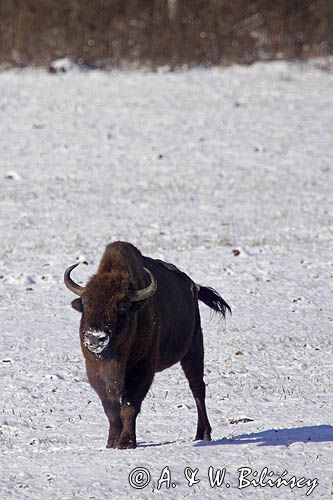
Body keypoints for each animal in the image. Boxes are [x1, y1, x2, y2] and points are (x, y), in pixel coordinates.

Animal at [65, 240, 231, 448]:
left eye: (122, 306)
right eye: (86, 303)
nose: (96, 338)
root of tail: (194, 287)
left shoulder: (141, 369)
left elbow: (130, 405)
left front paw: (126, 442)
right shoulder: (95, 371)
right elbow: (111, 408)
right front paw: (112, 442)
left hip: (193, 349)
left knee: (198, 389)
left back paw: (203, 434)